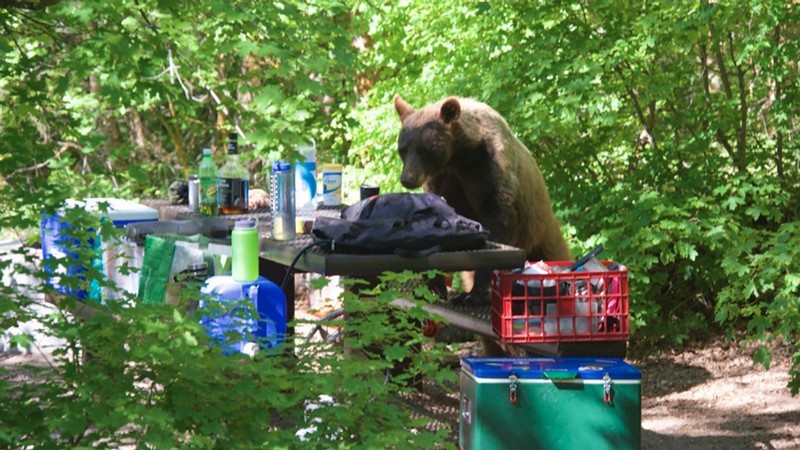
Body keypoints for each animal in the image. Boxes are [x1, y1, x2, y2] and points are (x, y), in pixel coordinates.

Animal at [393, 95, 571, 354]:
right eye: (403, 149)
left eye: (426, 149)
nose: (408, 179)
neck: (459, 158)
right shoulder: (444, 181)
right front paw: (435, 286)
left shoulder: (488, 170)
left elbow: (497, 219)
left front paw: (475, 295)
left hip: (543, 238)